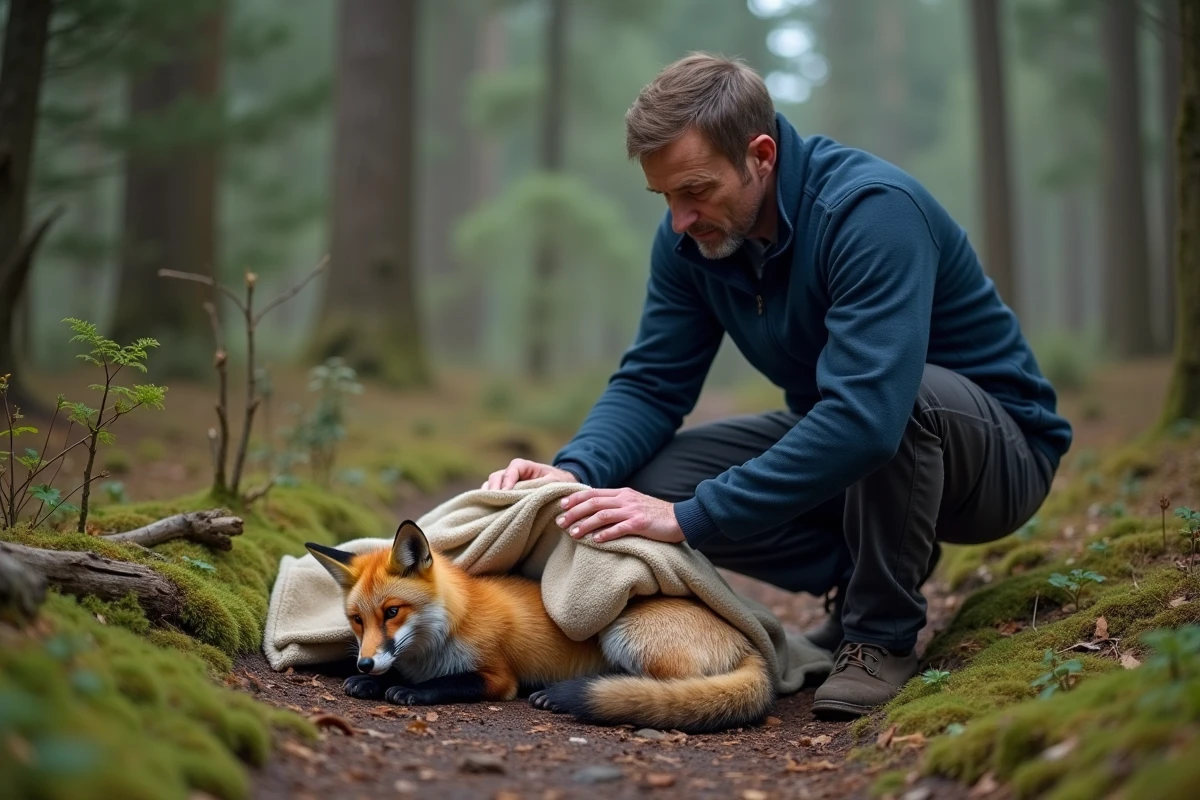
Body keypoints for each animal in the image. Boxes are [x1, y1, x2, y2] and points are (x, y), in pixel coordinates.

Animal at [304, 519, 776, 734]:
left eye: (392, 612)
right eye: (357, 620)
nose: (364, 665)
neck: (449, 627)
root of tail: (746, 641)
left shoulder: (497, 677)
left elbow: (447, 683)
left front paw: (408, 690)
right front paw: (373, 682)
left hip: (622, 627)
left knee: (664, 690)